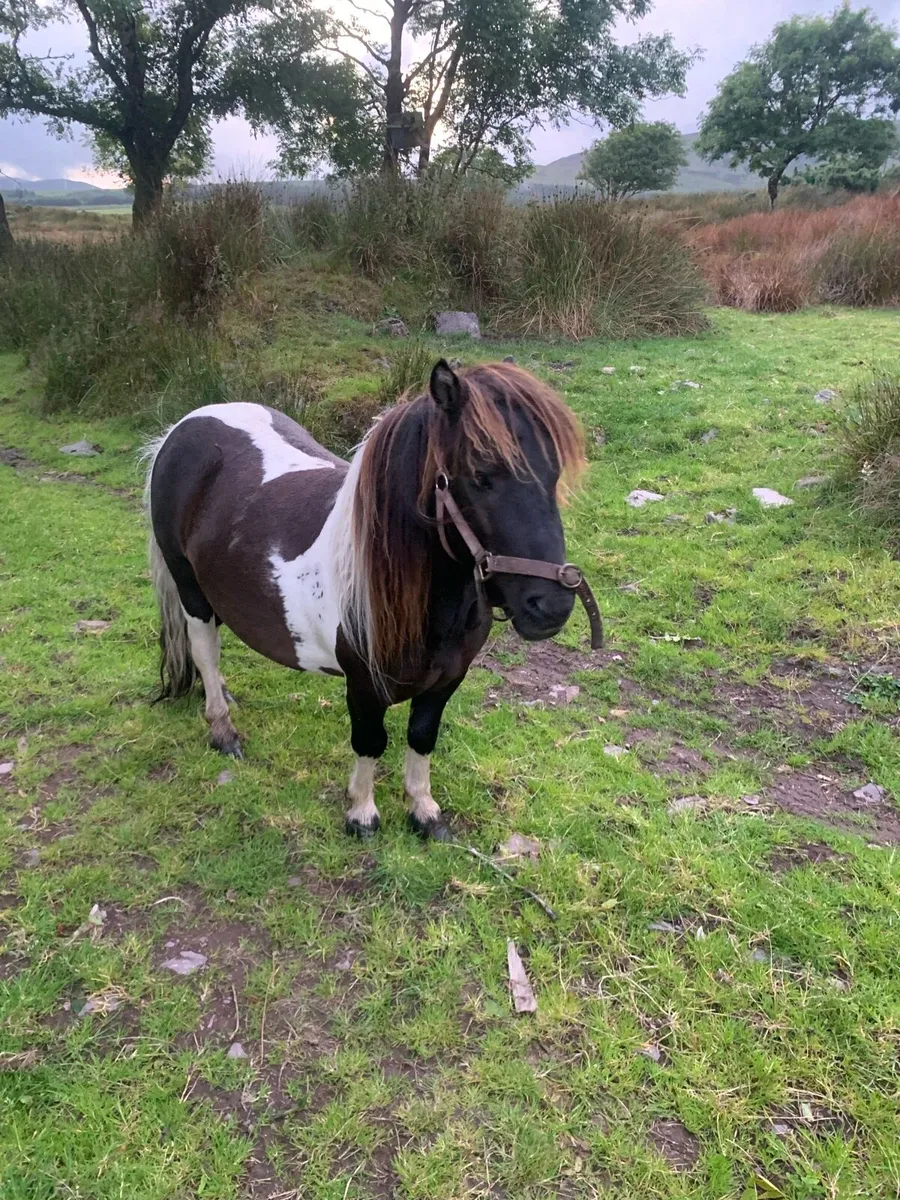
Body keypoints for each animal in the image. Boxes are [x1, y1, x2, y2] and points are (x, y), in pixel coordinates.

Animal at [144, 359, 602, 841]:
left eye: (553, 475)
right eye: (481, 476)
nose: (550, 607)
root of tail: (184, 427)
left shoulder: (447, 679)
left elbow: (422, 736)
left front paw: (424, 812)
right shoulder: (363, 683)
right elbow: (370, 741)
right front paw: (361, 813)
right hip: (190, 589)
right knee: (204, 649)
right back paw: (222, 730)